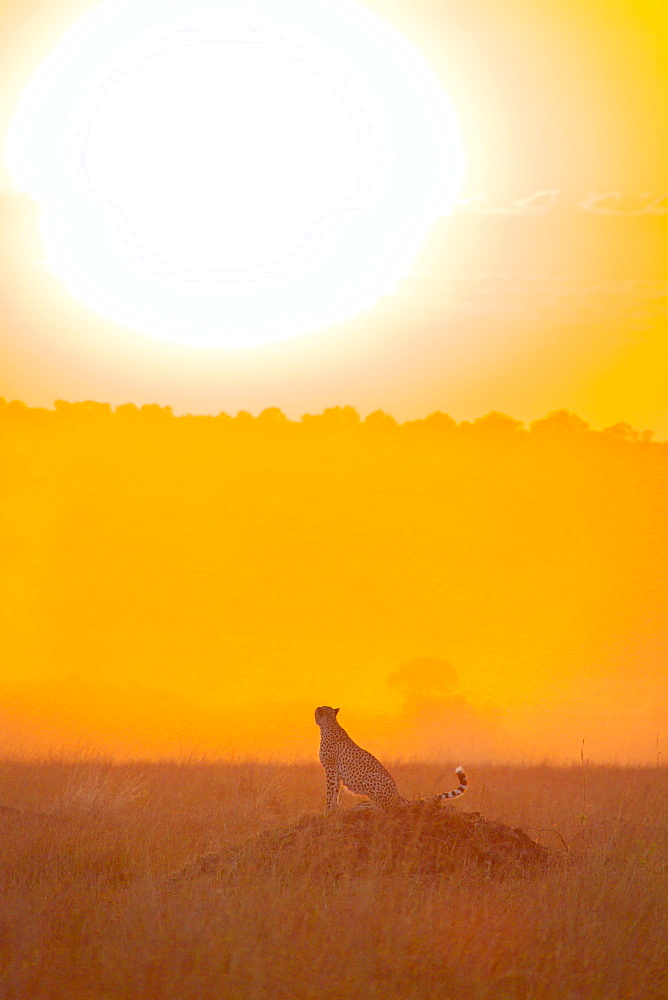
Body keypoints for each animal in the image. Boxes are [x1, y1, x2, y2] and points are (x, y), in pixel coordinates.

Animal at [314, 708, 468, 808]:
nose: (314, 716)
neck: (330, 724)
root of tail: (397, 794)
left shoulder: (330, 769)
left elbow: (330, 791)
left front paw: (327, 811)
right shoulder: (335, 771)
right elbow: (335, 792)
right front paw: (334, 810)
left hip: (370, 777)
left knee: (383, 807)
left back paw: (367, 805)